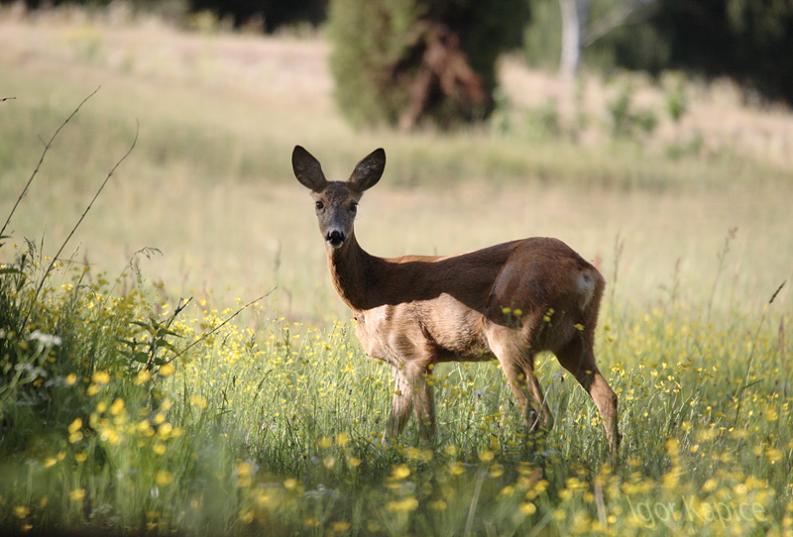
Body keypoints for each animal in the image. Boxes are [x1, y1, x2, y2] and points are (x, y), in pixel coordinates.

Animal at [290, 144, 620, 454]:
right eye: (319, 203)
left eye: (353, 205)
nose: (335, 235)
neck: (371, 292)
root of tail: (585, 271)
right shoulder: (400, 362)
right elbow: (391, 431)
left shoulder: (415, 352)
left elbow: (426, 429)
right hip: (575, 339)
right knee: (607, 397)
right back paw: (611, 463)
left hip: (511, 333)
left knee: (538, 413)